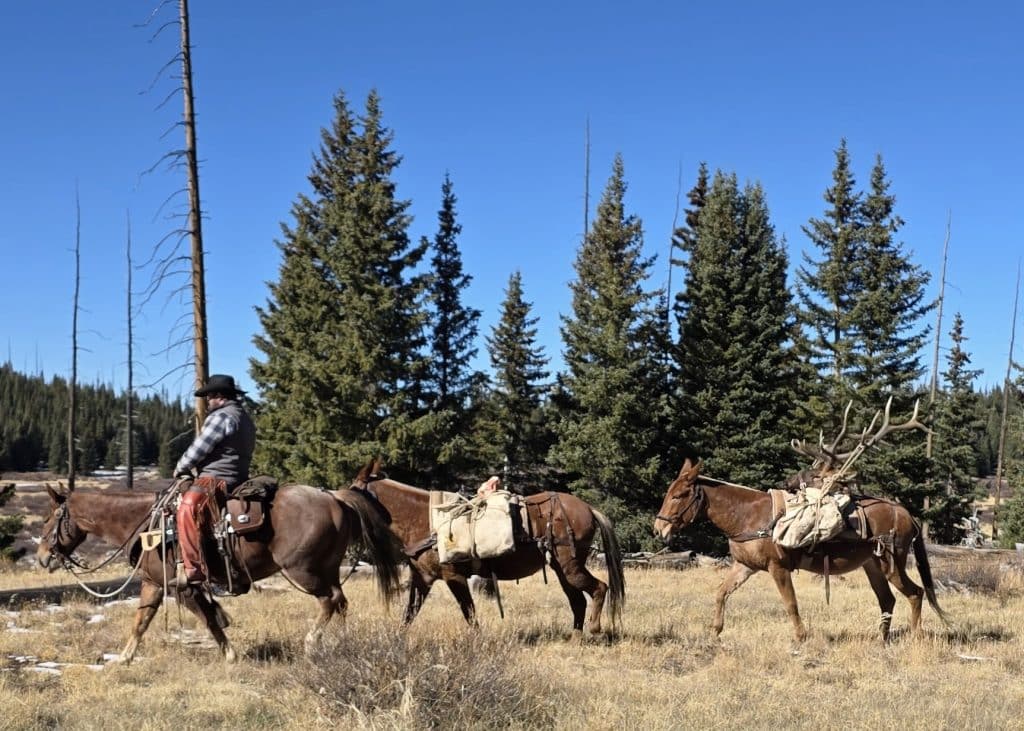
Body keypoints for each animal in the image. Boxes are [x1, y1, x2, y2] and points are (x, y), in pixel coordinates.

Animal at [36, 482, 406, 664]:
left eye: (48, 518)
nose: (42, 558)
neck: (144, 524)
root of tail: (334, 498)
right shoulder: (154, 583)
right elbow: (141, 621)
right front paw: (124, 659)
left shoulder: (182, 587)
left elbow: (210, 620)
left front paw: (230, 655)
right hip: (326, 568)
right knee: (341, 602)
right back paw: (342, 642)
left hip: (304, 571)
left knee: (330, 600)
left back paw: (312, 644)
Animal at [348, 462, 625, 637]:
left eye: (352, 492)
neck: (427, 521)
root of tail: (589, 509)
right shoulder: (423, 579)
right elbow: (410, 613)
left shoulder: (454, 577)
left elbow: (469, 612)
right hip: (561, 569)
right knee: (577, 601)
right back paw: (576, 636)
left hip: (570, 567)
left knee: (599, 588)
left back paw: (595, 629)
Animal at [653, 459, 948, 643]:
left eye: (679, 495)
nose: (659, 528)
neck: (748, 516)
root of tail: (906, 514)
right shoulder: (745, 566)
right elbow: (721, 593)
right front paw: (715, 632)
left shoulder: (778, 568)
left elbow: (790, 603)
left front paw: (800, 637)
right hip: (872, 565)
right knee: (887, 600)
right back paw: (882, 640)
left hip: (892, 564)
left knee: (915, 593)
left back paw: (914, 637)